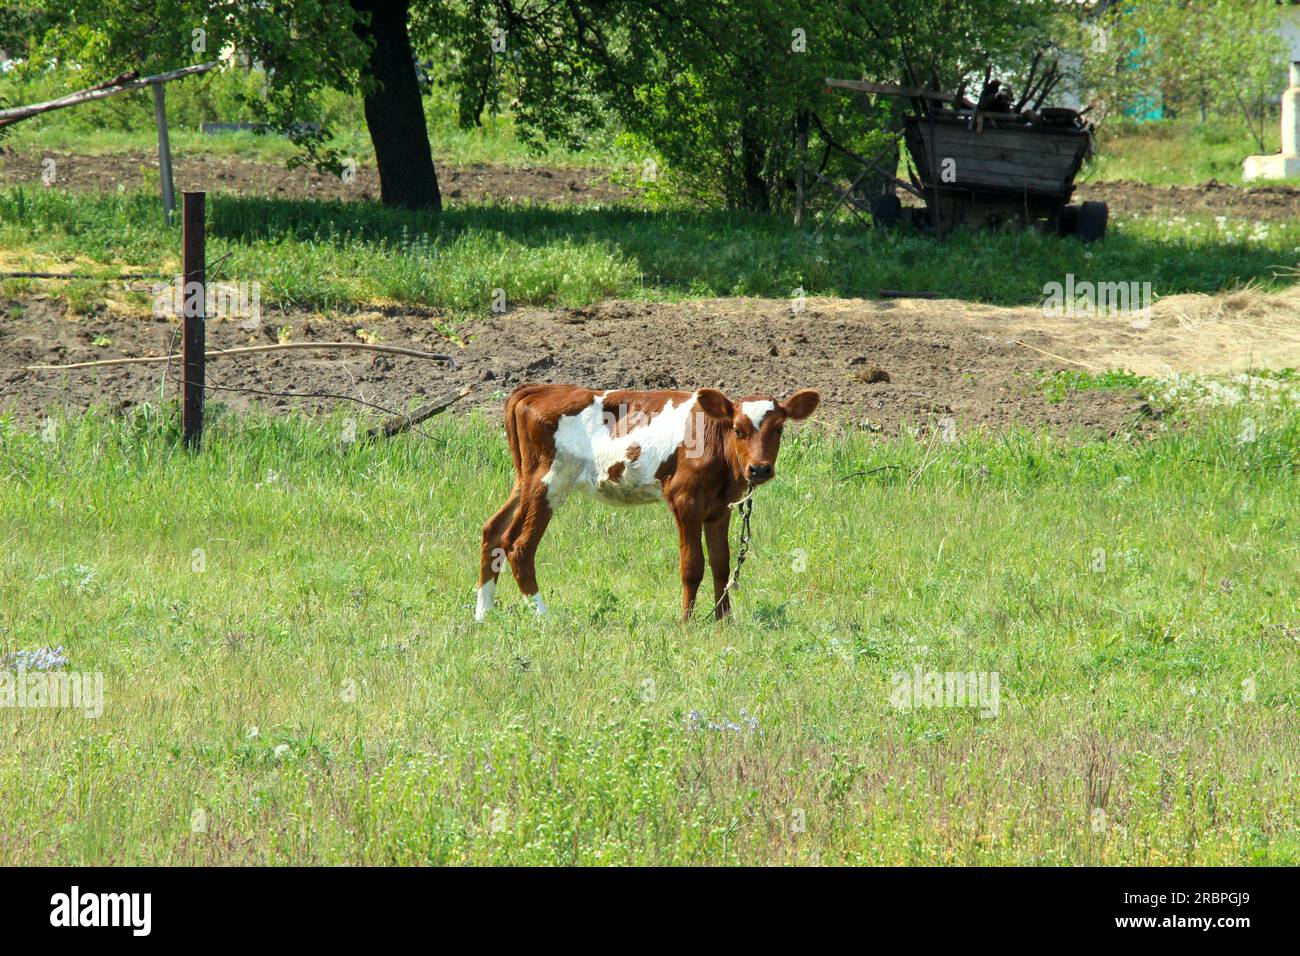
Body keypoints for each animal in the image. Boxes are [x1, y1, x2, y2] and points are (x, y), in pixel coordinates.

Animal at [478, 385, 821, 624]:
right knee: (518, 545)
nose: (759, 469)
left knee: (493, 530)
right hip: (549, 481)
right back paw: (544, 618)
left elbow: (721, 564)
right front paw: (686, 622)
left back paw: (483, 614)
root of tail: (537, 389)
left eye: (779, 429)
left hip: (524, 479)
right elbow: (692, 565)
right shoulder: (685, 501)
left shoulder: (718, 509)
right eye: (738, 429)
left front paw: (724, 620)